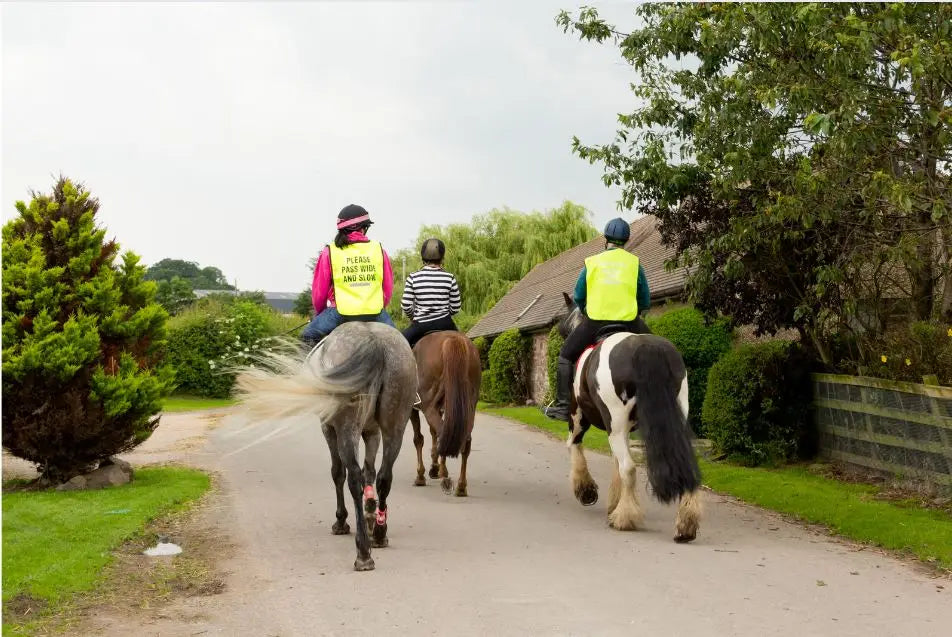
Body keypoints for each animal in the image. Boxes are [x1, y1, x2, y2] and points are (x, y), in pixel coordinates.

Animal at [410, 330, 484, 494]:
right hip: (468, 407)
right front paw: (439, 468)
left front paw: (422, 475)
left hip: (429, 406)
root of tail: (453, 339)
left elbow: (418, 439)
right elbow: (433, 433)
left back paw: (443, 478)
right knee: (460, 439)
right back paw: (461, 486)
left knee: (442, 433)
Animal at [556, 294, 700, 540]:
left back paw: (624, 518)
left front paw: (586, 491)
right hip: (674, 419)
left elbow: (575, 446)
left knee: (629, 468)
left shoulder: (580, 418)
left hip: (614, 424)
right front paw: (613, 502)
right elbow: (614, 461)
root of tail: (645, 348)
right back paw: (686, 525)